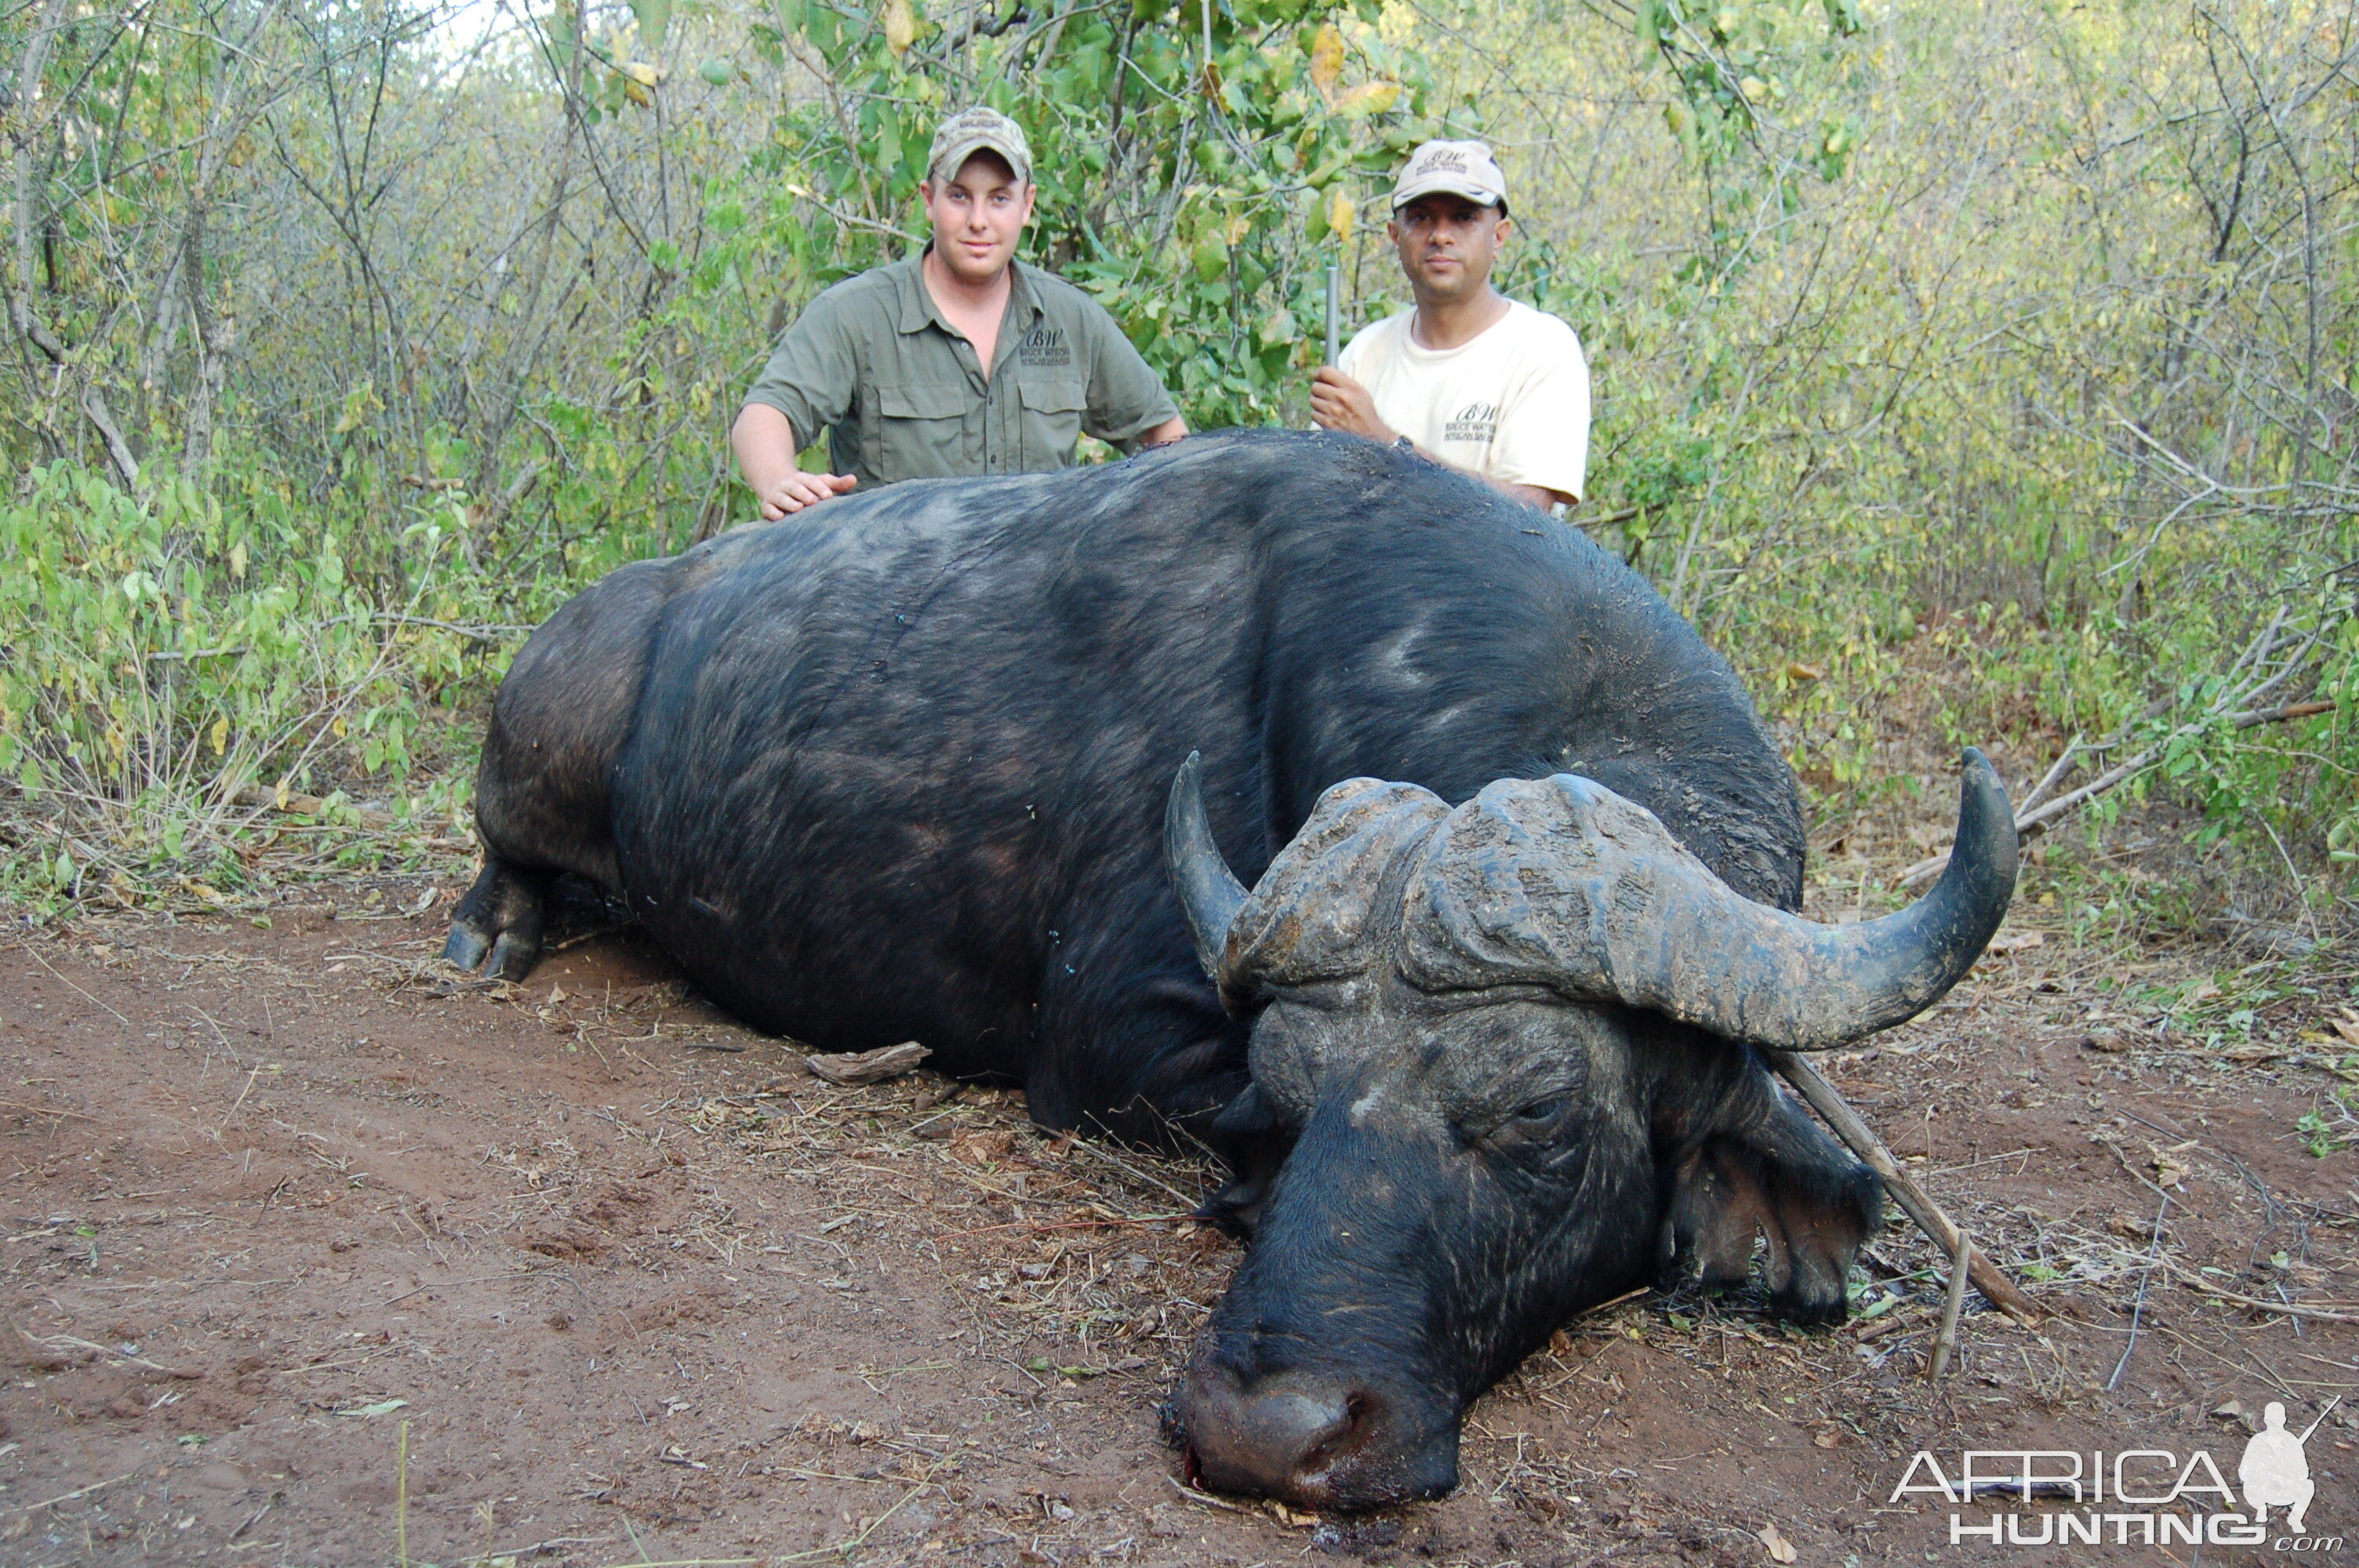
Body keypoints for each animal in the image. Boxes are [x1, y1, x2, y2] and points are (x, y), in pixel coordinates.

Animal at [450, 429, 2019, 1508]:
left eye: (1535, 1116)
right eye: (1281, 1107)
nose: (1266, 1434)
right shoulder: (1113, 1035)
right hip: (533, 762)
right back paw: (492, 930)